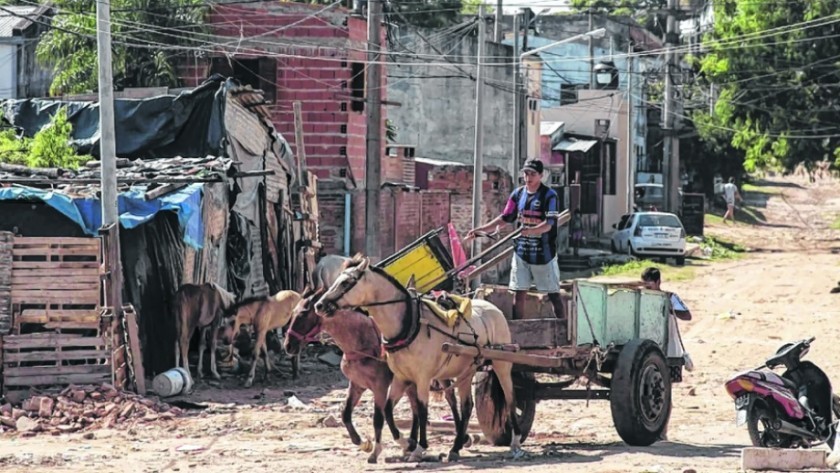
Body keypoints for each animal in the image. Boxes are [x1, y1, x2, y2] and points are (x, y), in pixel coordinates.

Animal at [286, 286, 462, 462]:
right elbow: (345, 414)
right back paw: (412, 443)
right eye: (292, 312)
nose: (288, 346)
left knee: (451, 400)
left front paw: (376, 451)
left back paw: (457, 440)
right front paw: (362, 442)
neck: (362, 342)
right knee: (416, 409)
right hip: (411, 381)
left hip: (439, 375)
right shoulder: (357, 385)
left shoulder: (380, 387)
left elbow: (378, 418)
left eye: (303, 314)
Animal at [316, 254, 524, 460]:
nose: (320, 305)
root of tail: (493, 308)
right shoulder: (401, 378)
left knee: (510, 398)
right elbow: (388, 410)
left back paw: (515, 441)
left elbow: (422, 410)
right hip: (466, 371)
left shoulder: (421, 378)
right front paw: (407, 443)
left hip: (501, 363)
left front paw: (419, 446)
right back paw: (456, 447)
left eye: (346, 282)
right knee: (466, 406)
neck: (409, 324)